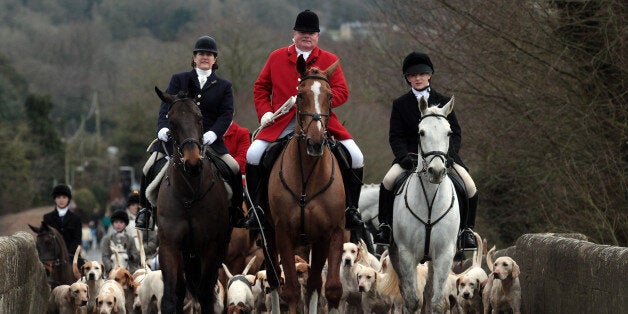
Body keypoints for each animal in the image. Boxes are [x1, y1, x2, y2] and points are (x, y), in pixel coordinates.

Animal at [153, 87, 232, 312]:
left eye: (200, 118)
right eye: (172, 123)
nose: (193, 163)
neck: (189, 194)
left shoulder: (211, 246)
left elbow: (205, 295)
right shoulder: (169, 245)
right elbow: (171, 296)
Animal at [264, 55, 346, 312]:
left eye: (330, 97)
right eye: (300, 95)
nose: (315, 142)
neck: (307, 177)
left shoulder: (331, 232)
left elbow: (328, 287)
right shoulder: (283, 233)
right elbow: (290, 289)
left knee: (313, 283)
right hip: (267, 235)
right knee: (273, 279)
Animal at [390, 97, 458, 312]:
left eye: (449, 133)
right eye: (421, 132)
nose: (436, 171)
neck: (429, 199)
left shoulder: (444, 255)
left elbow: (435, 302)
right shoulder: (405, 254)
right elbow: (412, 300)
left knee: (428, 293)